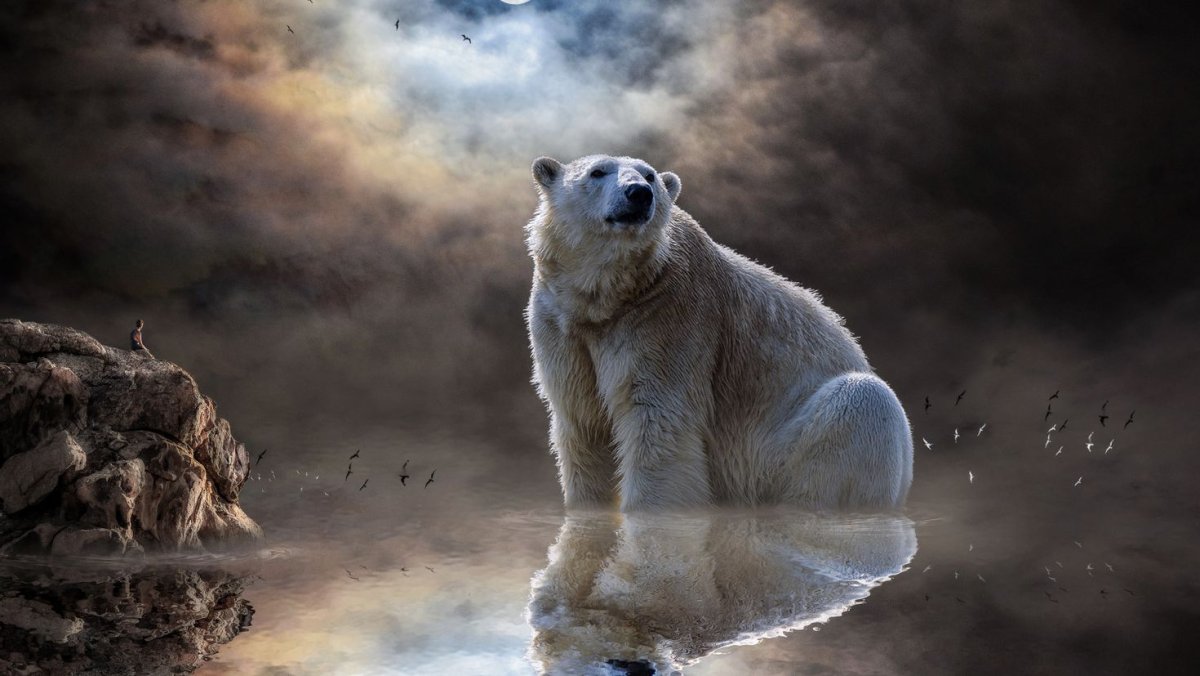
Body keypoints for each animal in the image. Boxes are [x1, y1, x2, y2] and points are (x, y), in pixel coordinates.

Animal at [525, 154, 912, 511]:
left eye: (650, 175)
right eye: (597, 172)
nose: (639, 193)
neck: (607, 298)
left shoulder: (669, 317)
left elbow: (659, 421)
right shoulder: (559, 322)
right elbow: (582, 421)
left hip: (779, 453)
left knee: (863, 401)